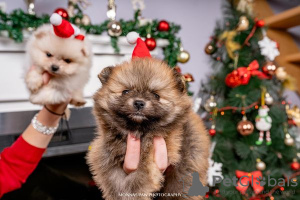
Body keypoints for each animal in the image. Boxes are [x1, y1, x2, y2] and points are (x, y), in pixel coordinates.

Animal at [85, 57, 210, 199]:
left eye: (156, 95)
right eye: (125, 91)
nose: (139, 103)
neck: (137, 131)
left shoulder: (148, 160)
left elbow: (136, 184)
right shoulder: (105, 154)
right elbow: (113, 181)